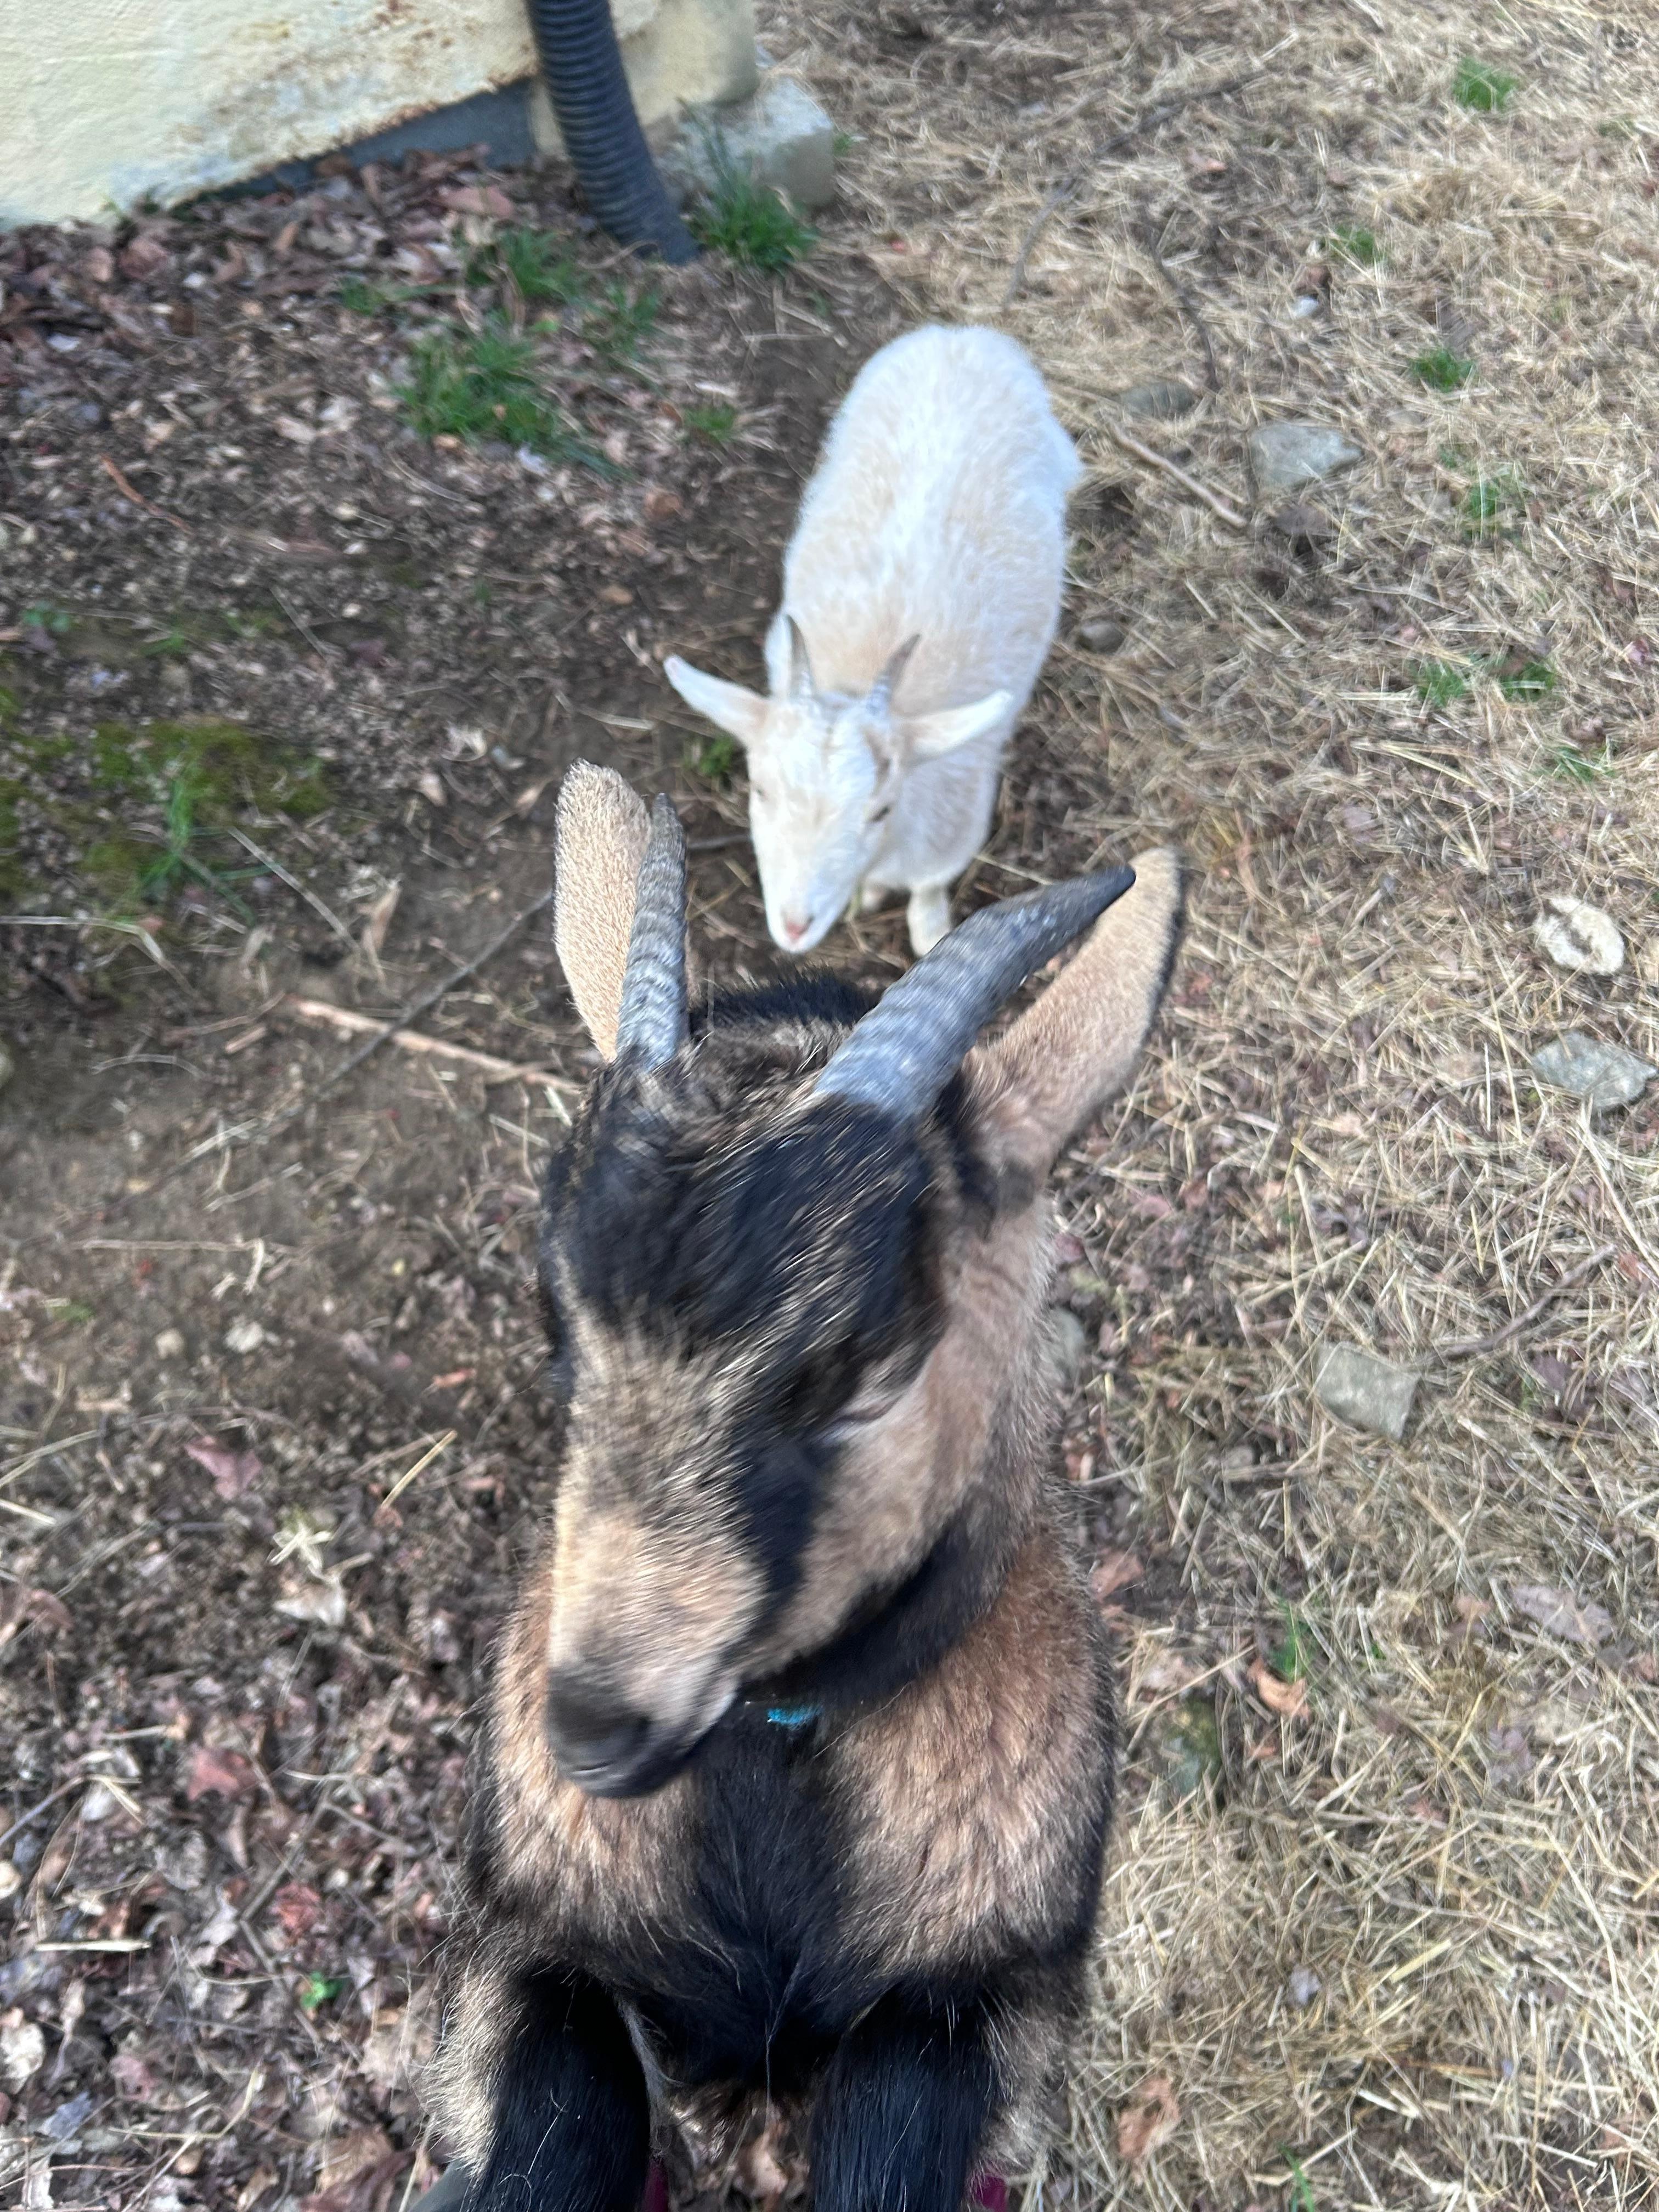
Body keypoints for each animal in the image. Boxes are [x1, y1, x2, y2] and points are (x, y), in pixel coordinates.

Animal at [428, 761, 1182, 2212]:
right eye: (558, 1328)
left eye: (872, 1374)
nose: (595, 1725)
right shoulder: (536, 1951)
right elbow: (556, 2130)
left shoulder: (981, 1999)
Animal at [663, 324, 1082, 959]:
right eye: (759, 789)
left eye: (881, 810)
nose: (795, 925)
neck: (858, 682)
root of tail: (964, 337)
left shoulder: (954, 822)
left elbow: (929, 888)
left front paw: (926, 926)